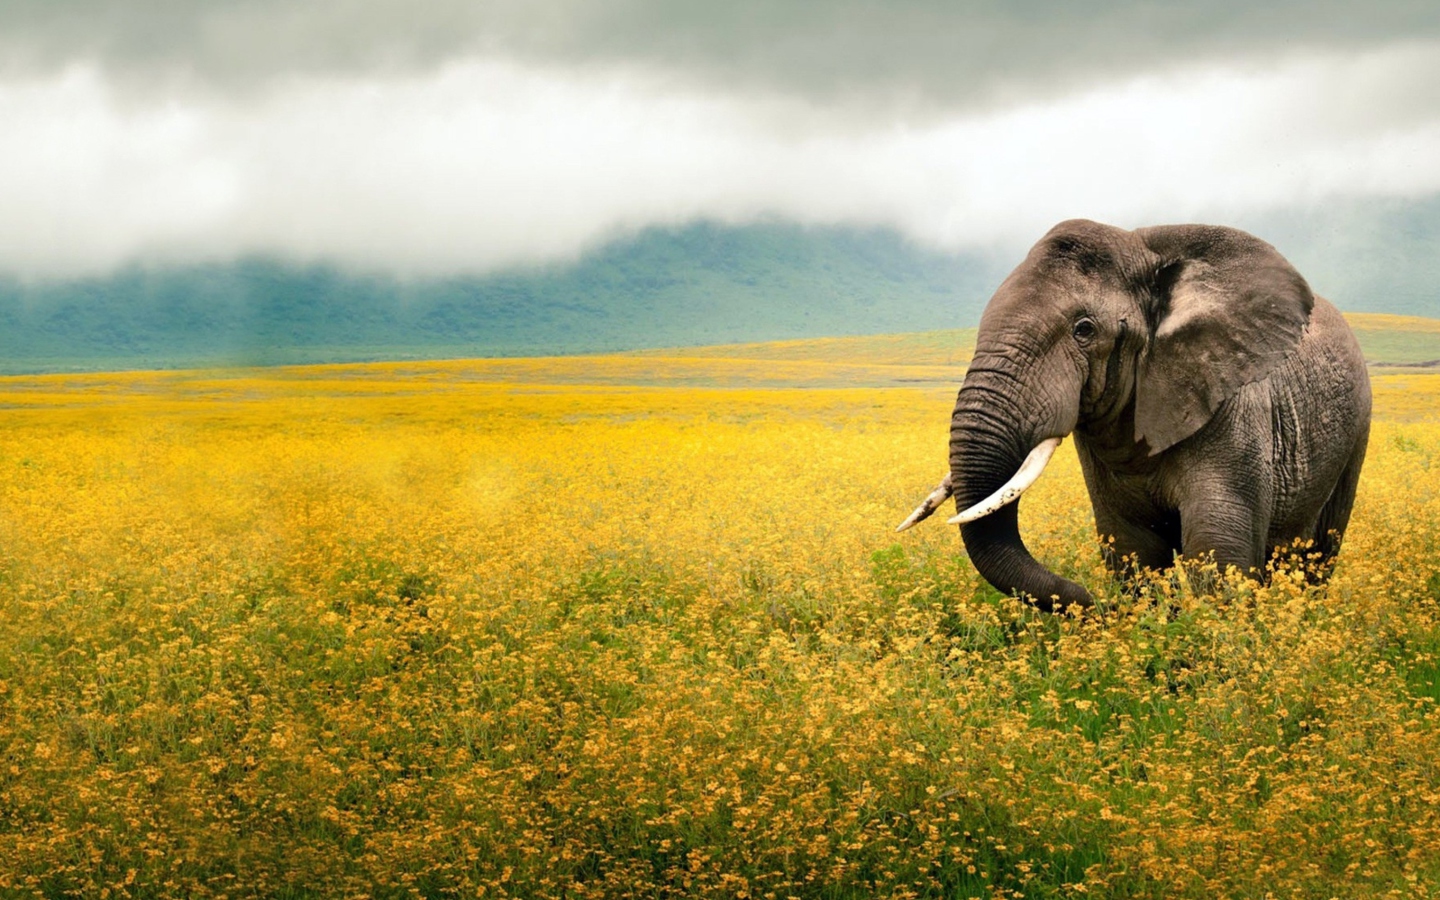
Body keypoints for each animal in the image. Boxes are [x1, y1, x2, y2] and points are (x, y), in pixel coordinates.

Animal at [898, 218, 1370, 610]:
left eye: (1084, 330)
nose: (1092, 603)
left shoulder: (1235, 408)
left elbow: (1218, 550)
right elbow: (1133, 549)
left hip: (1356, 433)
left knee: (1318, 553)